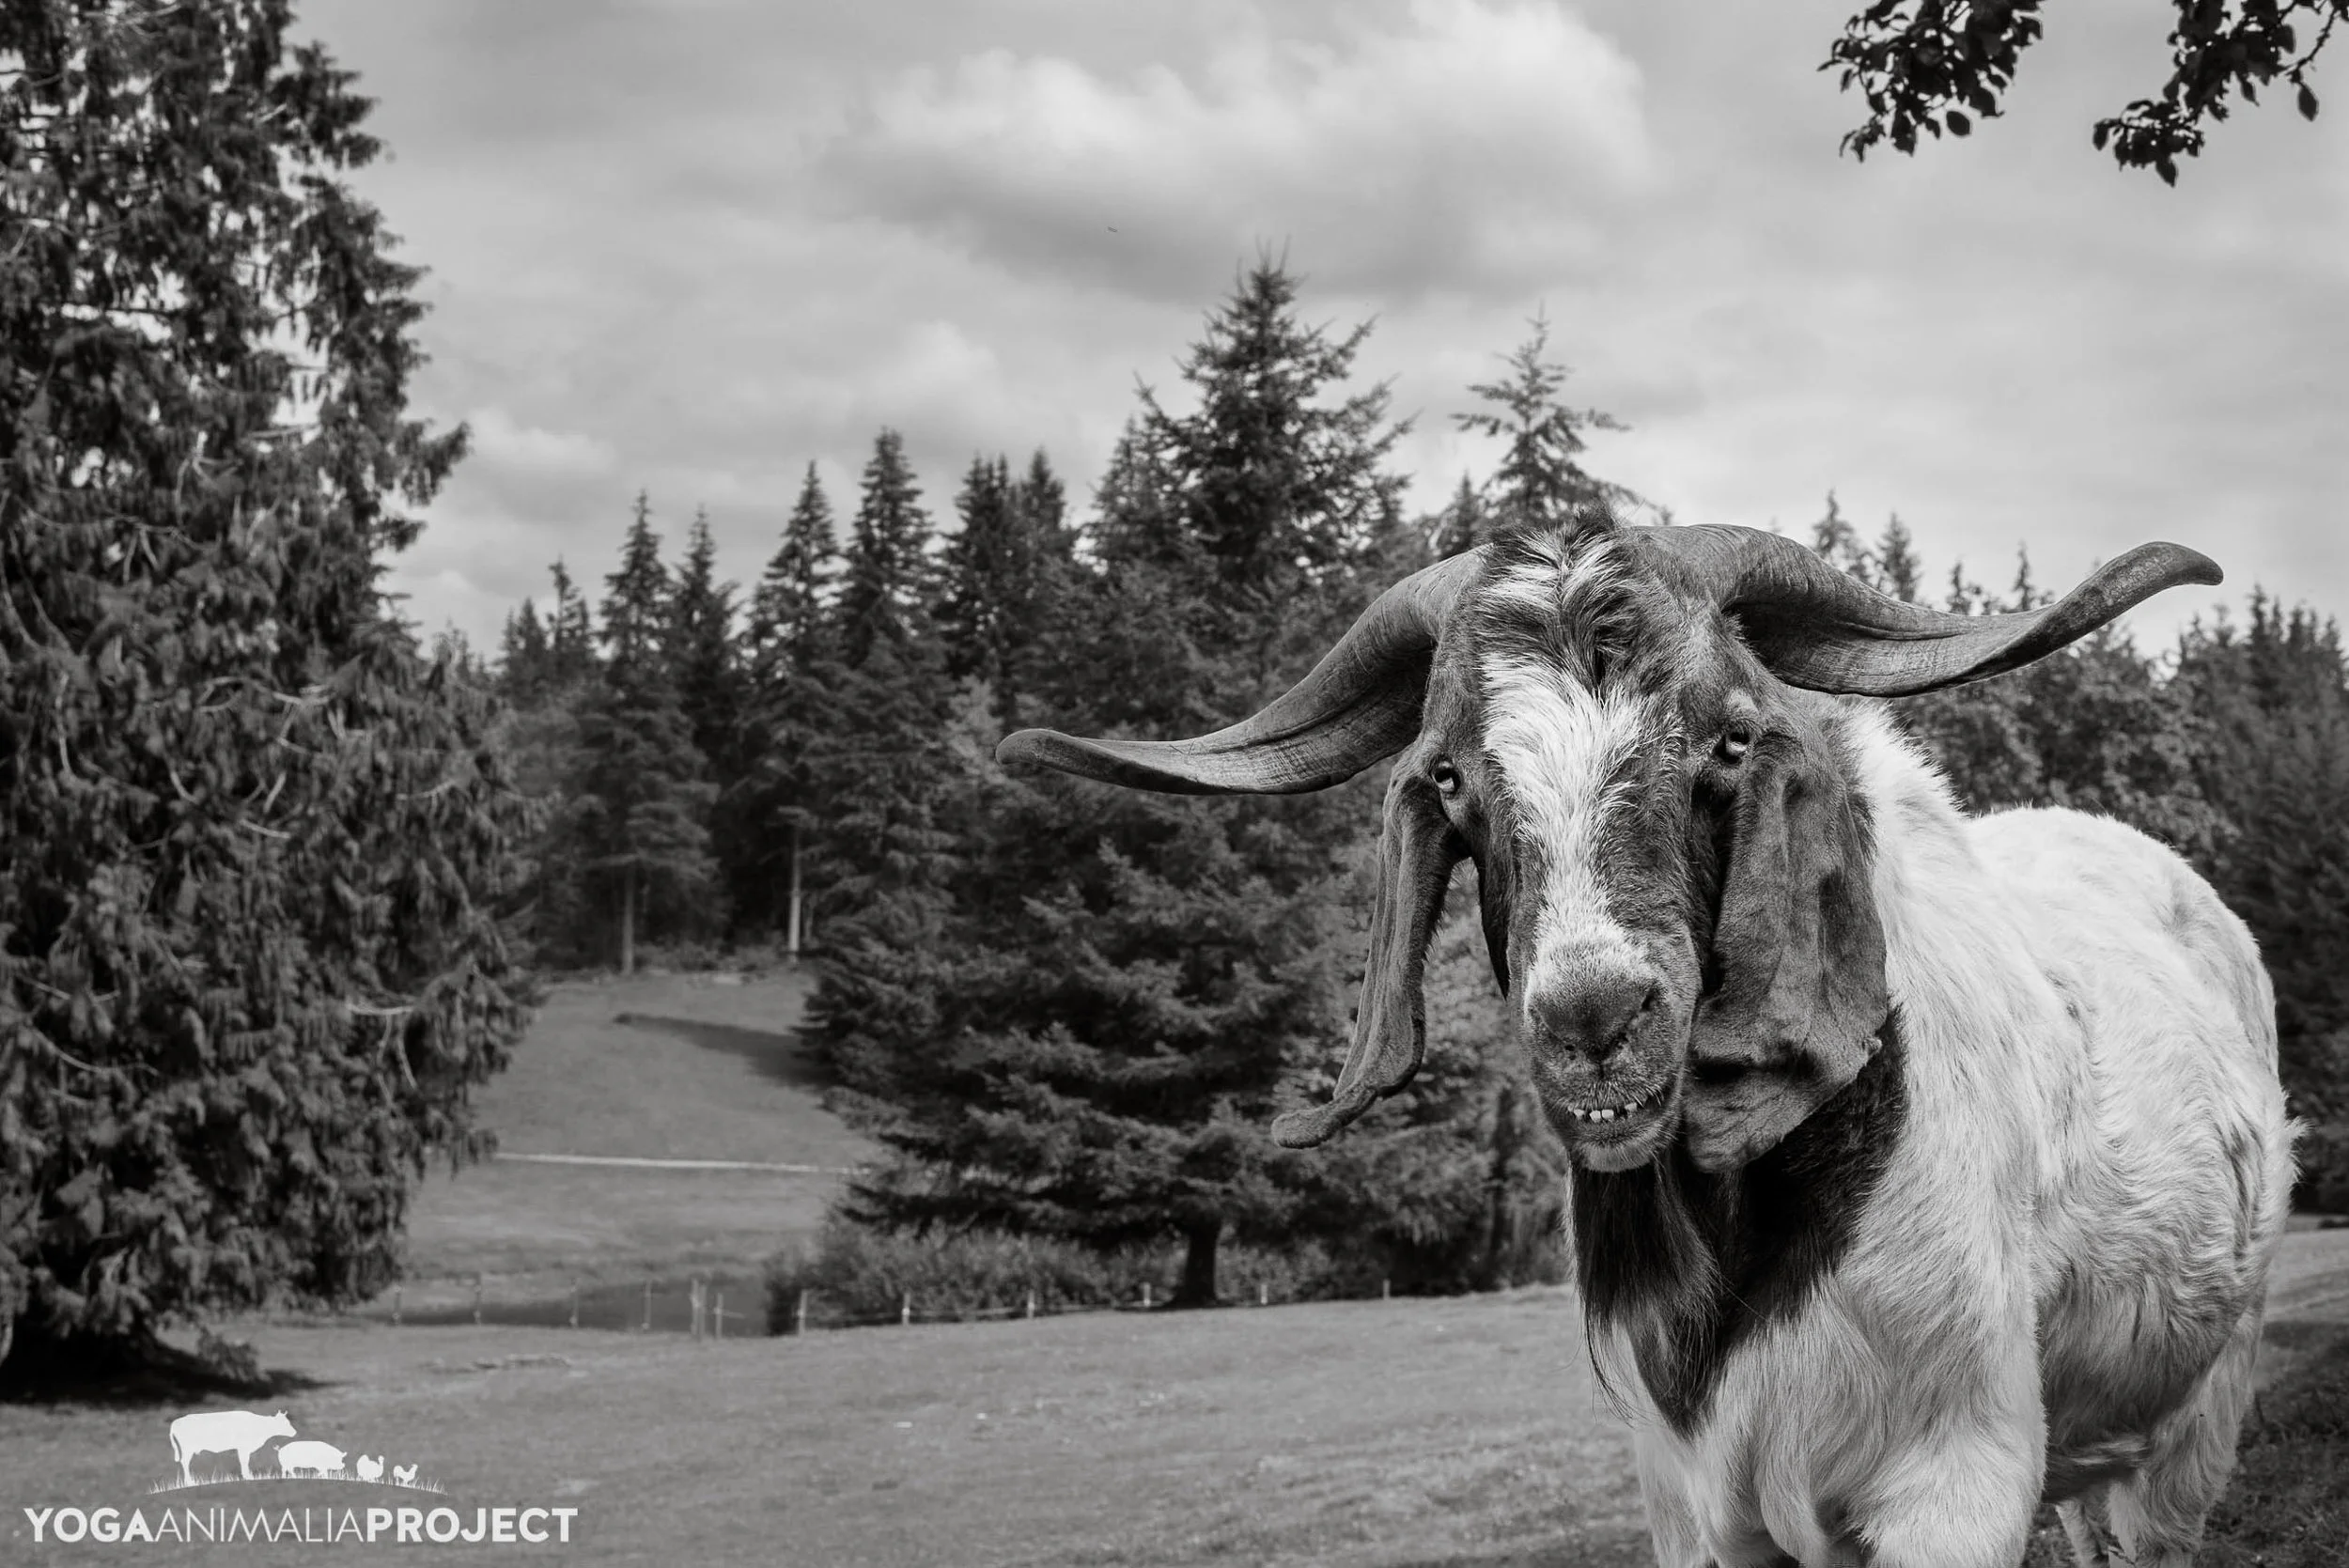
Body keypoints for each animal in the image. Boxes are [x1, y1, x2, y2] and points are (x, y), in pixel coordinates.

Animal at [999, 517, 2294, 1568]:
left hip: (2198, 1409)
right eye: (1453, 776)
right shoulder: (1696, 1502)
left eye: (1726, 740)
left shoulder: (1953, 1476)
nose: (1594, 1021)